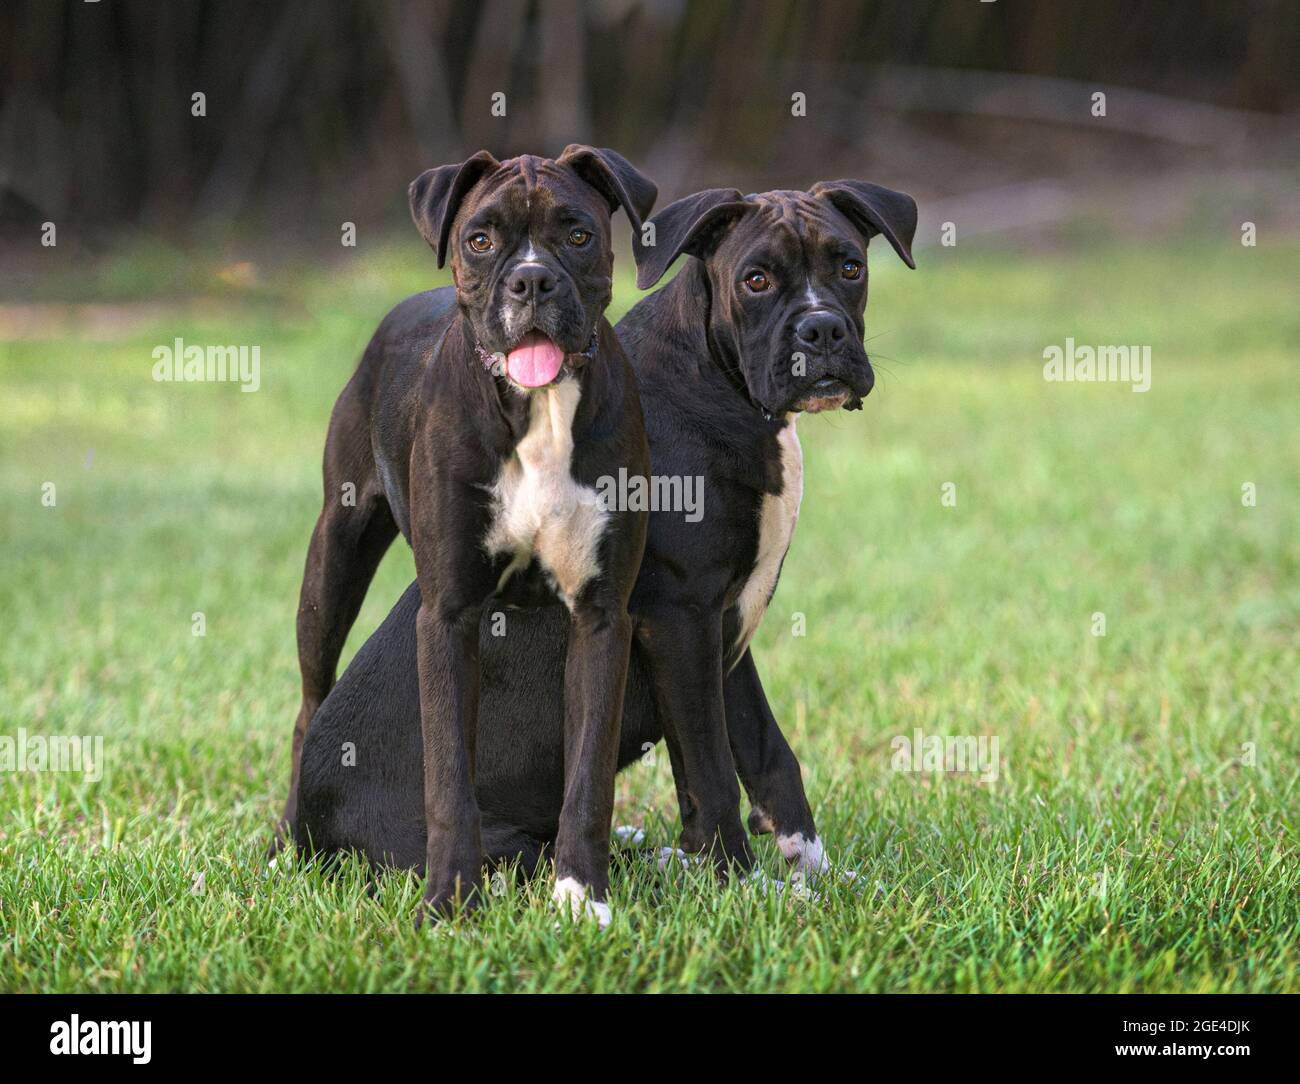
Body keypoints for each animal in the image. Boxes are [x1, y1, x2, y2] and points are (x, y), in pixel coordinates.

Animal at [278, 145, 655, 920]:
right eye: (480, 239)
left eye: (578, 234)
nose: (531, 279)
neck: (540, 410)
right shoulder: (449, 617)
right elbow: (449, 776)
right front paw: (450, 901)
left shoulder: (601, 616)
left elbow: (589, 774)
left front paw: (581, 895)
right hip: (333, 562)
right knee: (308, 705)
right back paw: (283, 846)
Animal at [292, 175, 925, 889]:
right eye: (756, 280)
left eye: (851, 267)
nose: (822, 329)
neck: (720, 380)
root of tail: (314, 834)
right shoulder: (680, 619)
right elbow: (710, 769)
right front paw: (744, 887)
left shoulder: (726, 626)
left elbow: (767, 752)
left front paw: (816, 874)